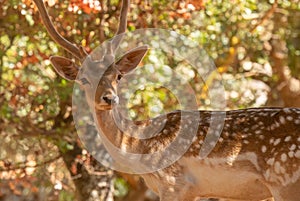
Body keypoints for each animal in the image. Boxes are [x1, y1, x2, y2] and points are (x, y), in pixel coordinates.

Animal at [32, 0, 300, 201]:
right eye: (84, 79)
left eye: (118, 75)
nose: (109, 97)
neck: (137, 148)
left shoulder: (173, 182)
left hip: (285, 180)